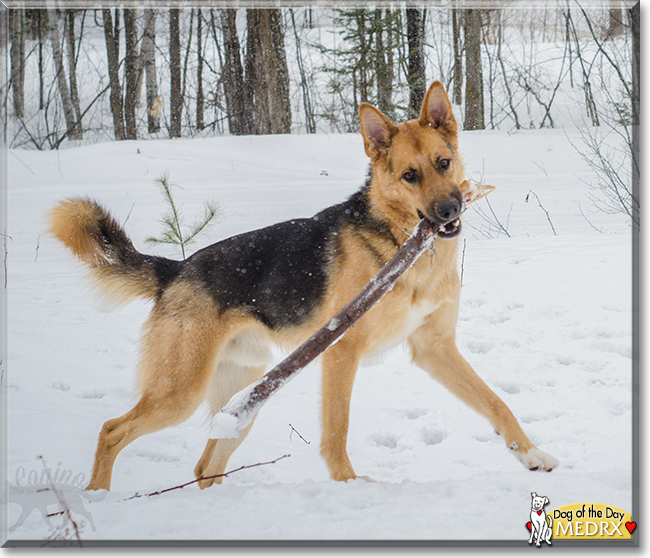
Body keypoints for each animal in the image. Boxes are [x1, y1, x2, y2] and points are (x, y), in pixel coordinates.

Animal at [48, 81, 560, 492]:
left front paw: (531, 454)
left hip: (242, 397)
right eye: (410, 176)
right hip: (181, 392)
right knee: (112, 431)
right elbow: (337, 431)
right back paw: (97, 497)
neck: (405, 247)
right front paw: (349, 486)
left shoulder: (435, 348)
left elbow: (496, 403)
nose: (450, 211)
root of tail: (175, 270)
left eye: (444, 162)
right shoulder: (341, 351)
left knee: (205, 466)